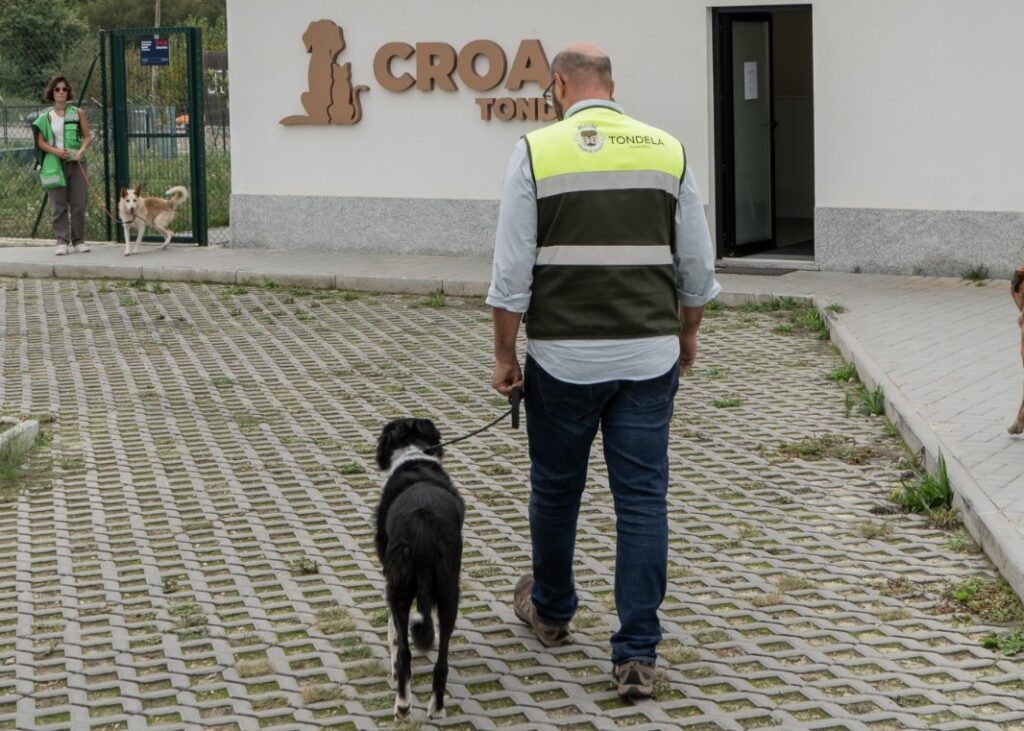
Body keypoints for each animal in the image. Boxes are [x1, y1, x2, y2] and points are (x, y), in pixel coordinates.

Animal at [374, 415, 466, 716]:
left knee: (404, 654)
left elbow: (393, 635)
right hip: (449, 591)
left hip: (399, 586)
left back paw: (402, 705)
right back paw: (436, 708)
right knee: (442, 662)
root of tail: (423, 528)